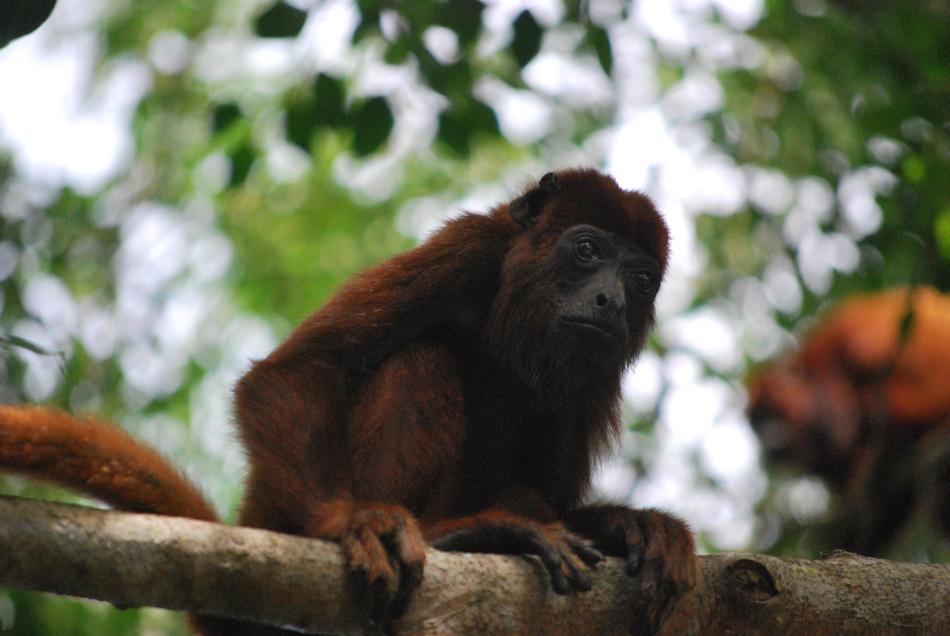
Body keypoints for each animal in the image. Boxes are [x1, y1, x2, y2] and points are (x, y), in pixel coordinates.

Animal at [0, 168, 697, 634]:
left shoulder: (597, 370)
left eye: (639, 281)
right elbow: (298, 370)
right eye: (587, 250)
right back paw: (460, 534)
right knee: (423, 361)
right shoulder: (466, 252)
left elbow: (553, 493)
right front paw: (348, 521)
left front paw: (627, 524)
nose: (610, 302)